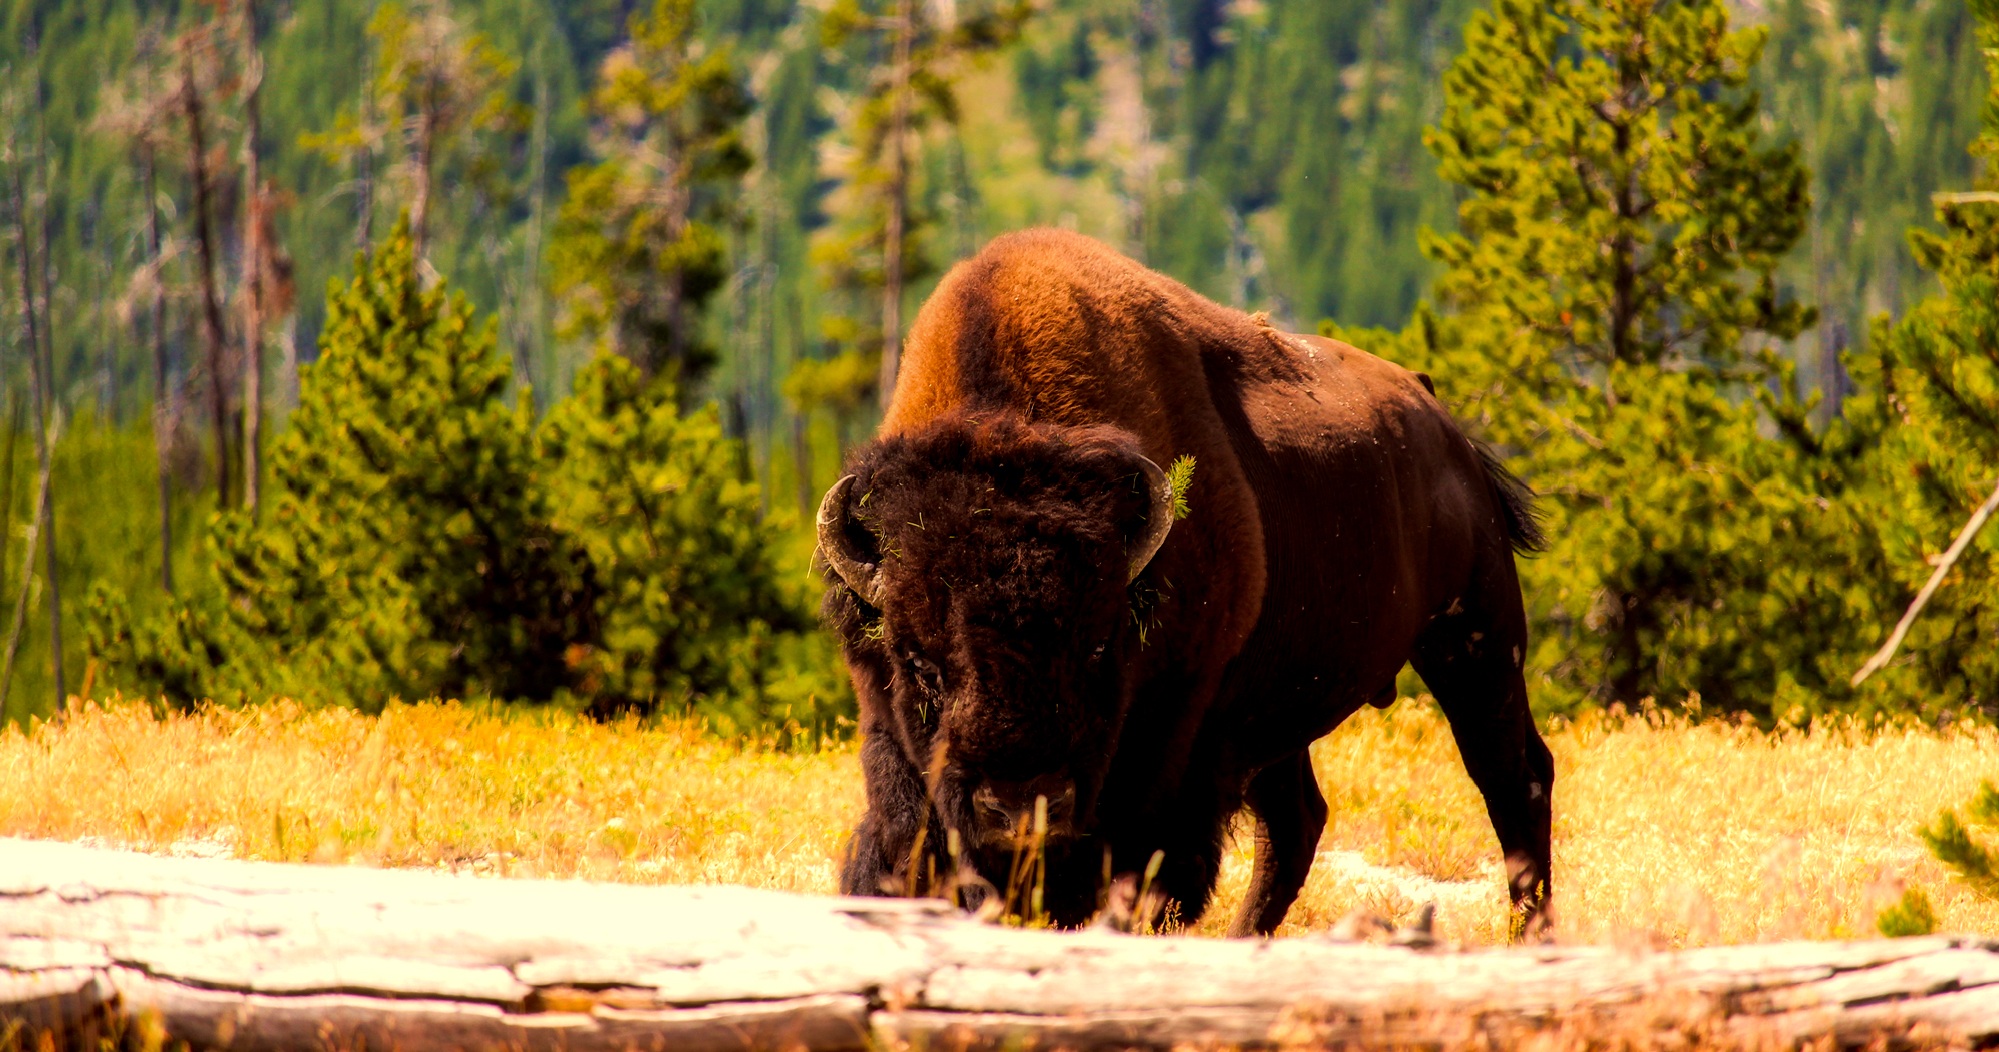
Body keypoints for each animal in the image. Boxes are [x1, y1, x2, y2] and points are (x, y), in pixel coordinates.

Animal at [819, 231, 1551, 940]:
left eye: (1097, 648)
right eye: (920, 663)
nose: (1020, 808)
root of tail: (1441, 420)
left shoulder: (1177, 742)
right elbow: (901, 842)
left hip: (1476, 639)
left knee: (1515, 778)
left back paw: (1529, 934)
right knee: (1297, 820)